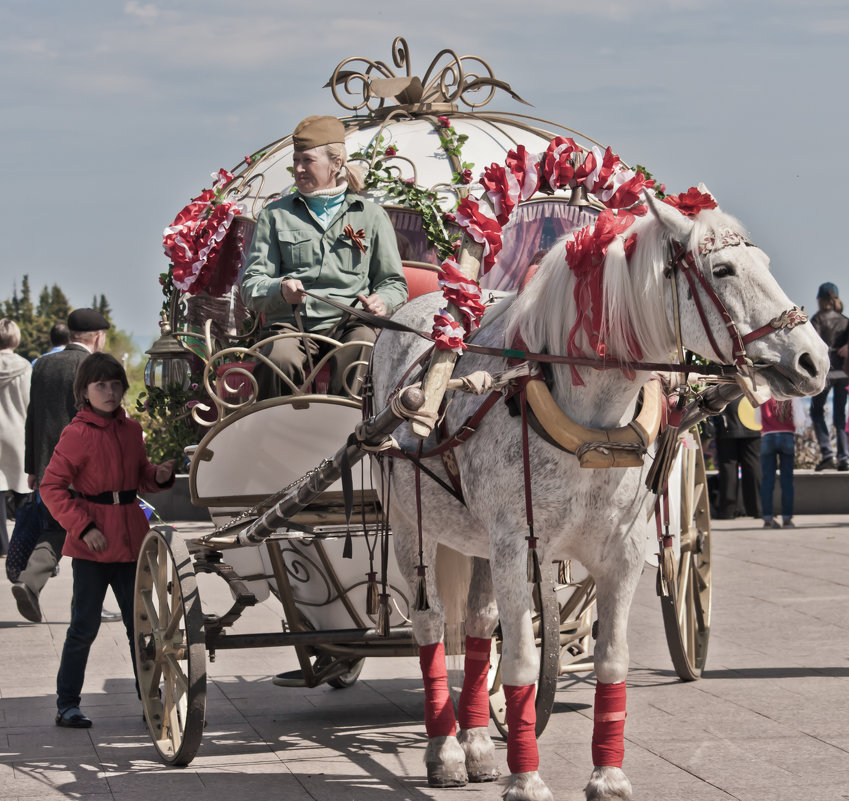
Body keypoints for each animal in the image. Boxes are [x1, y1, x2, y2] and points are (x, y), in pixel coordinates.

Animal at [368, 191, 824, 796]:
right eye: (723, 269)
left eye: (766, 264)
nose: (815, 360)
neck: (589, 420)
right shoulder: (518, 547)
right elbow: (521, 663)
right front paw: (527, 780)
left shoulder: (622, 552)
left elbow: (611, 659)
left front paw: (607, 776)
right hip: (410, 524)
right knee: (431, 627)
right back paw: (444, 751)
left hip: (477, 540)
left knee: (477, 625)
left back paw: (477, 745)